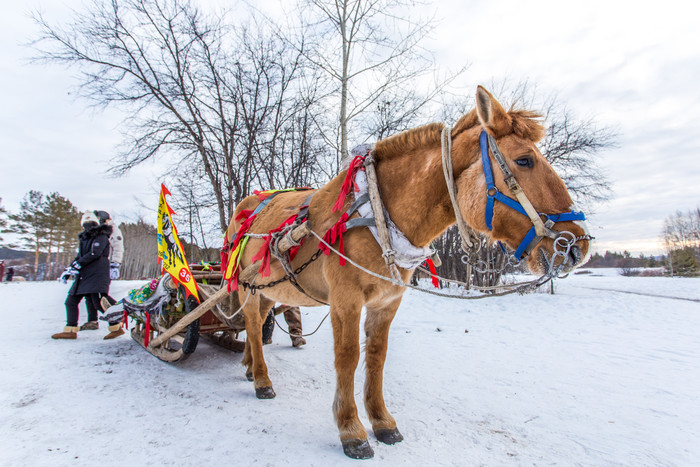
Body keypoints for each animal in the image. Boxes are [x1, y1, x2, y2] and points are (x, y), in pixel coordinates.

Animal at [224, 86, 592, 458]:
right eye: (524, 160)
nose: (578, 245)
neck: (376, 214)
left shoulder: (387, 302)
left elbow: (376, 356)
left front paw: (382, 422)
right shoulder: (346, 300)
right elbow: (348, 357)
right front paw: (351, 428)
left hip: (268, 288)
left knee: (256, 324)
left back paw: (249, 366)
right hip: (243, 284)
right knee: (252, 325)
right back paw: (262, 379)